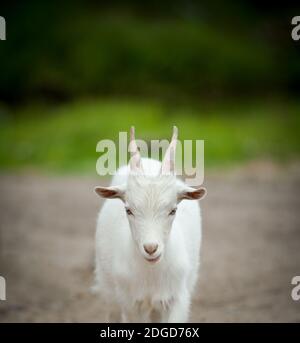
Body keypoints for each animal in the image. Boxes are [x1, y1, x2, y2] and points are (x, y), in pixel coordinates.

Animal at [94, 127, 206, 324]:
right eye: (128, 210)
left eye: (173, 210)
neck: (151, 273)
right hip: (108, 289)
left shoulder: (177, 298)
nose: (151, 248)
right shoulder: (130, 303)